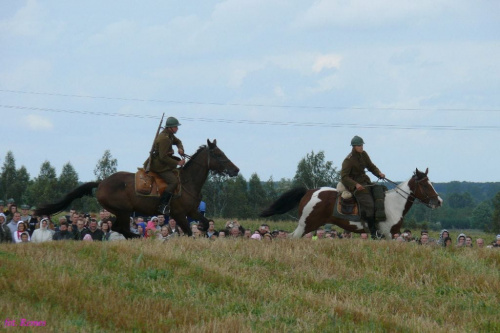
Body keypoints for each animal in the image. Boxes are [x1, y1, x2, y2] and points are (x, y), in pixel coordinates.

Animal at [35, 139, 238, 237]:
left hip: (122, 212)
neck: (188, 182)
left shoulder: (192, 211)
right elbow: (188, 232)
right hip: (123, 211)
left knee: (119, 228)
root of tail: (101, 183)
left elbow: (205, 222)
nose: (236, 170)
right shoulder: (179, 214)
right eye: (219, 154)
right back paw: (137, 237)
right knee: (120, 228)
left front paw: (204, 230)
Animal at [260, 167, 444, 237]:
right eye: (425, 185)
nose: (439, 201)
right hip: (305, 225)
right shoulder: (387, 234)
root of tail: (309, 191)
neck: (394, 204)